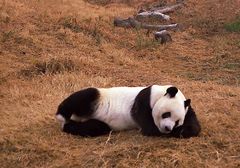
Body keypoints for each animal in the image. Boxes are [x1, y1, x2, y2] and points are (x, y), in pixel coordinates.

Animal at [56, 85, 201, 138]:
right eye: (166, 114)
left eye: (177, 122)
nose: (167, 128)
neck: (159, 93)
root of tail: (76, 118)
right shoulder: (143, 100)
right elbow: (149, 128)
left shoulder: (187, 109)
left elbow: (194, 125)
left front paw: (182, 130)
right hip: (97, 97)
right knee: (85, 95)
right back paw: (61, 115)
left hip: (96, 123)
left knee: (95, 127)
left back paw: (68, 125)